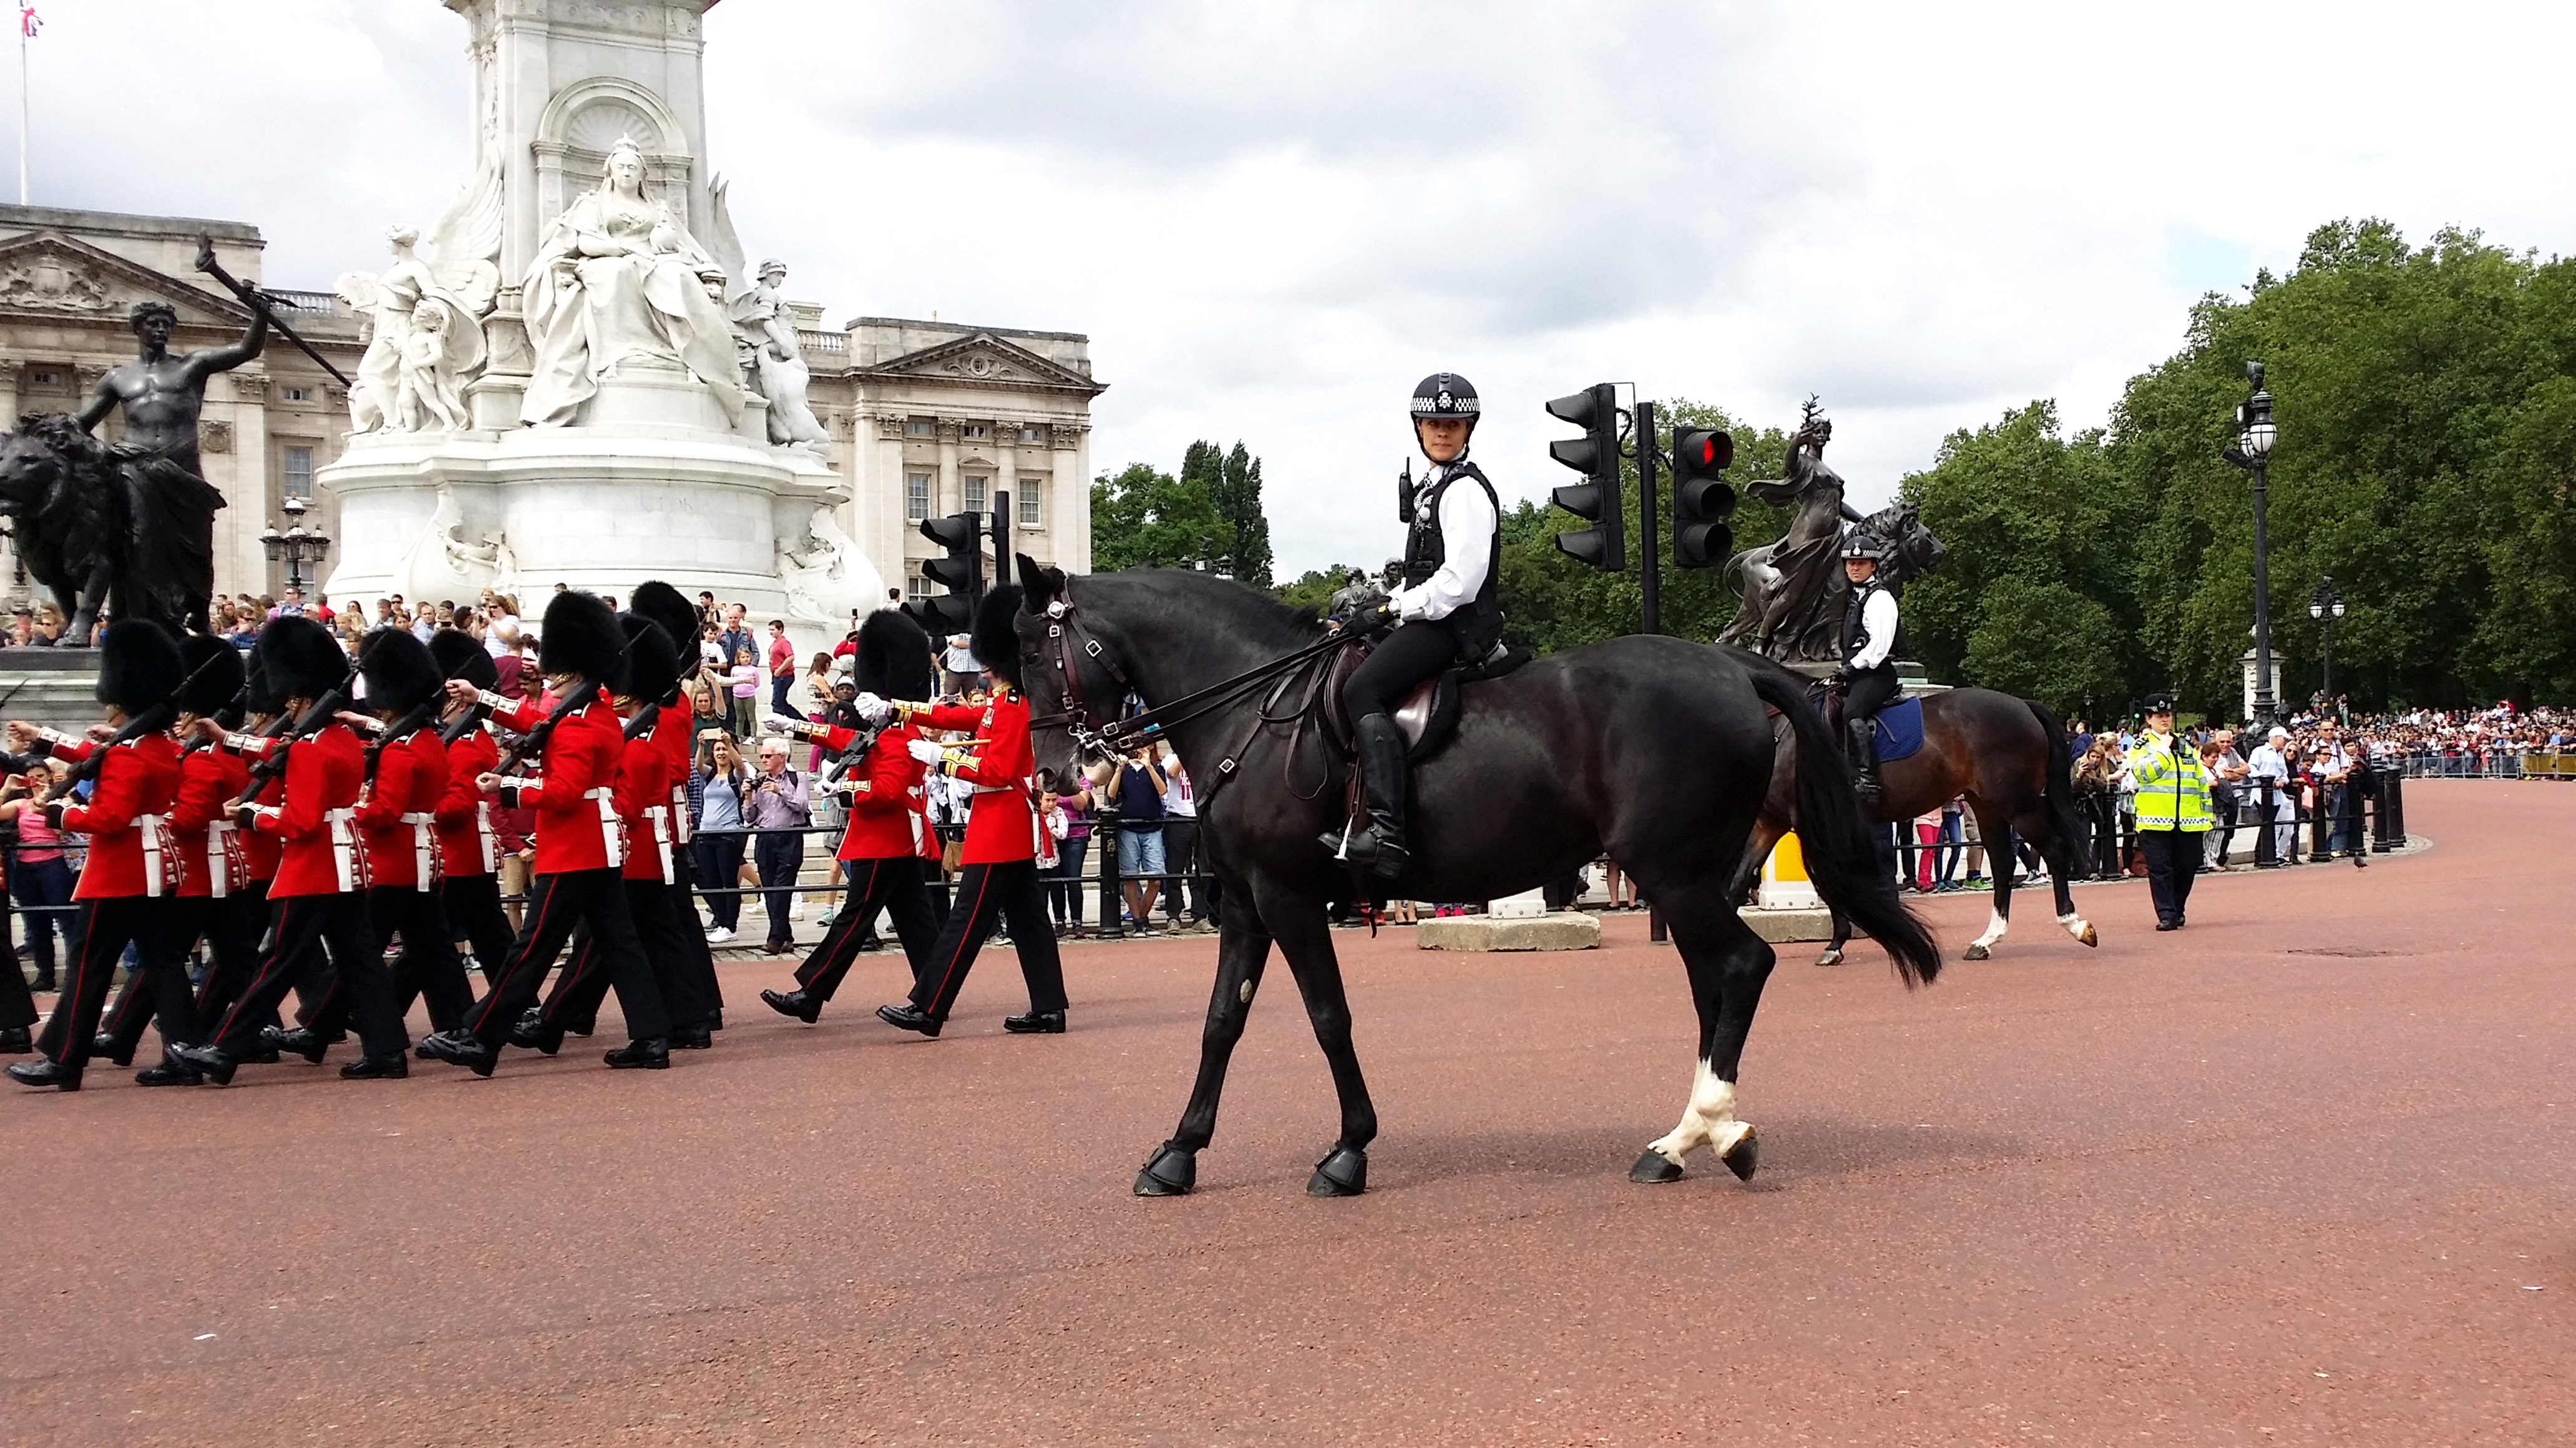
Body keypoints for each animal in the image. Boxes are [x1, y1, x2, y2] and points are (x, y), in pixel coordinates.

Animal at [999, 559, 1937, 1190]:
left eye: (1035, 652)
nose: (1053, 774)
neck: (1256, 709)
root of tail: (1735, 665)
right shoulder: (1242, 898)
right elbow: (1220, 1022)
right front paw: (1179, 1152)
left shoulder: (1287, 894)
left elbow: (1328, 1017)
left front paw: (1349, 1149)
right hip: (1690, 875)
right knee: (1717, 982)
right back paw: (1691, 1138)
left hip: (1673, 873)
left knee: (1741, 966)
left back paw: (1705, 1133)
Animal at [1731, 675, 2091, 958]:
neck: (1786, 730)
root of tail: (2023, 705)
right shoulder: (1769, 823)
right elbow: (1739, 881)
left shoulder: (1809, 825)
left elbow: (1830, 882)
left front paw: (1836, 943)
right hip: (1987, 805)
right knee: (2003, 863)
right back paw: (1986, 940)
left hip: (2017, 804)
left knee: (2053, 849)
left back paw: (2075, 924)